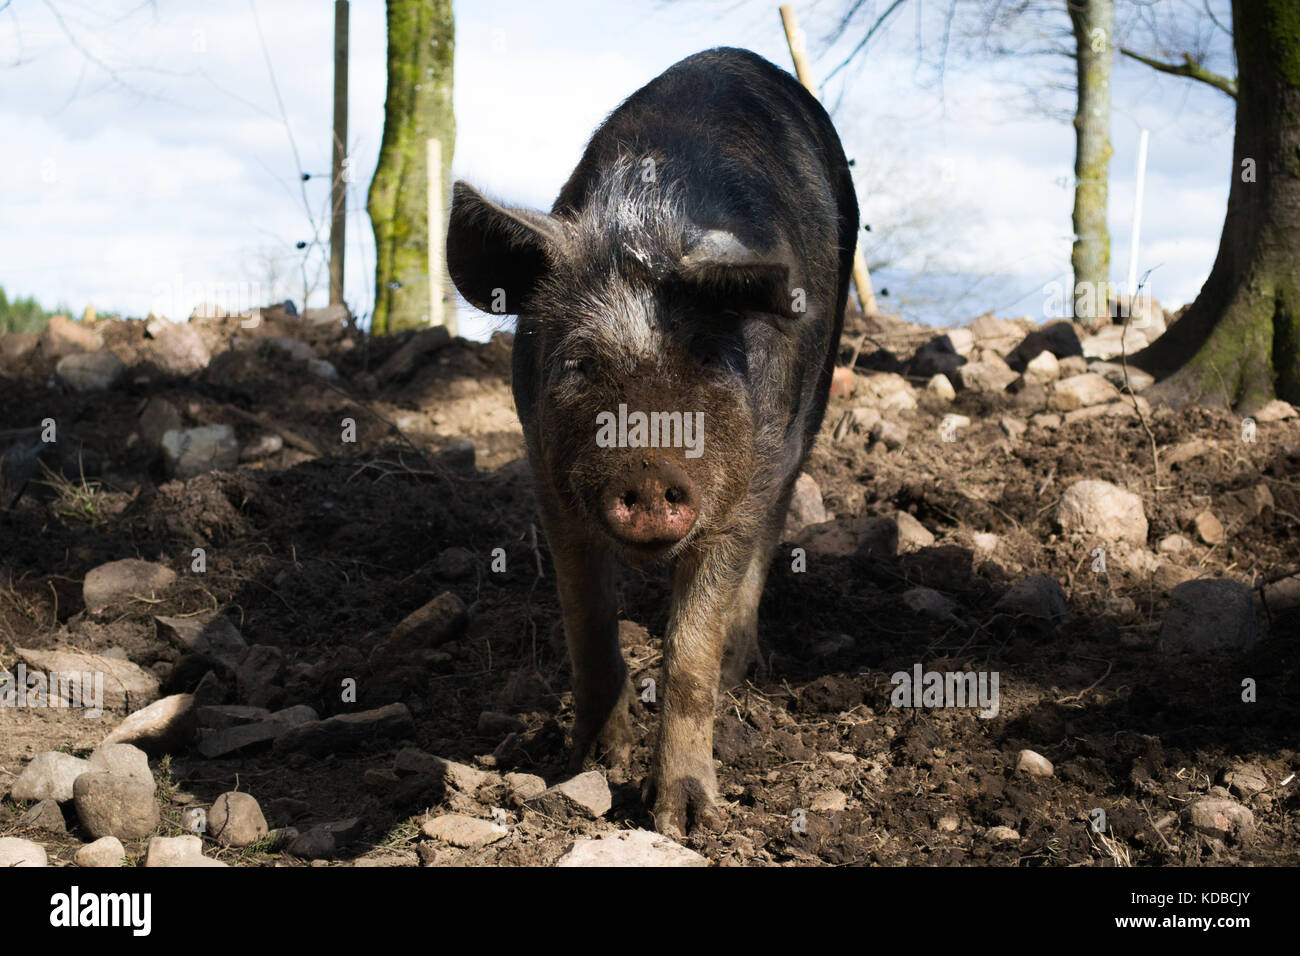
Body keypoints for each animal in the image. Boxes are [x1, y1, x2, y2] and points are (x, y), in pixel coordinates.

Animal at [447, 46, 863, 837]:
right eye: (579, 363)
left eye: (706, 357)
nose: (645, 471)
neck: (645, 223)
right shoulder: (549, 480)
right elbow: (586, 623)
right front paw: (583, 767)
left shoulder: (739, 486)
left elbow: (690, 652)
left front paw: (684, 821)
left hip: (812, 401)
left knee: (771, 534)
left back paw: (742, 669)